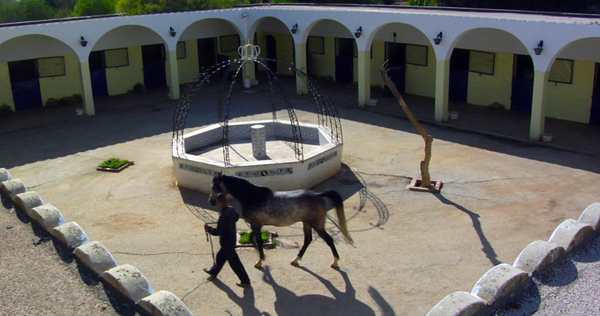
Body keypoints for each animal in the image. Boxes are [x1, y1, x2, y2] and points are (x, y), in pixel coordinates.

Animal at [210, 173, 354, 270]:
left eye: (216, 186)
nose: (211, 201)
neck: (253, 197)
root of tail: (318, 195)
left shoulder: (256, 225)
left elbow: (259, 242)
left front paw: (259, 262)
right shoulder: (256, 225)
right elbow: (252, 239)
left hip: (317, 225)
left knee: (329, 240)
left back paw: (335, 262)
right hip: (306, 223)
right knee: (308, 240)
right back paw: (296, 260)